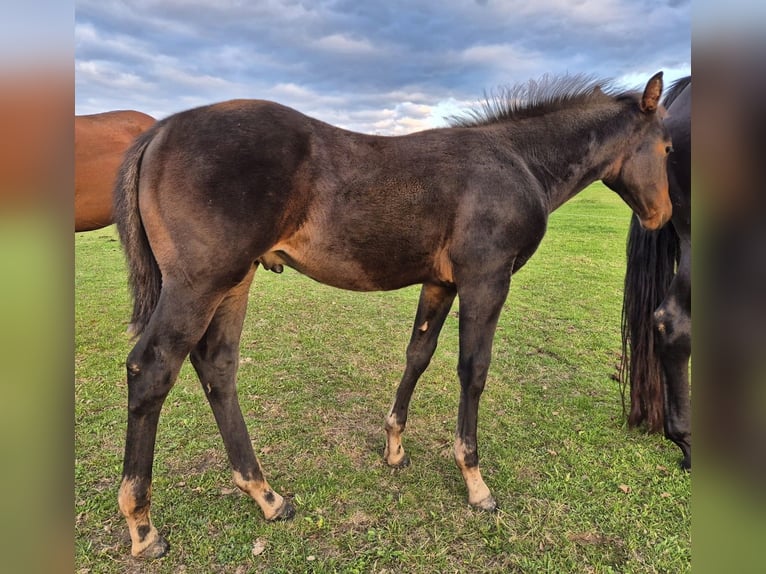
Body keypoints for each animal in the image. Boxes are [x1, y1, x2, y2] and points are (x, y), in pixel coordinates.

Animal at [113, 72, 672, 558]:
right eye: (668, 149)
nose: (662, 215)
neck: (518, 163)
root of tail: (160, 129)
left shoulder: (441, 282)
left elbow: (418, 354)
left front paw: (395, 446)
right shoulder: (486, 279)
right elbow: (473, 371)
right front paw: (475, 481)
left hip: (234, 281)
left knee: (217, 366)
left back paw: (266, 496)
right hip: (200, 283)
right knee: (152, 369)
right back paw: (143, 526)